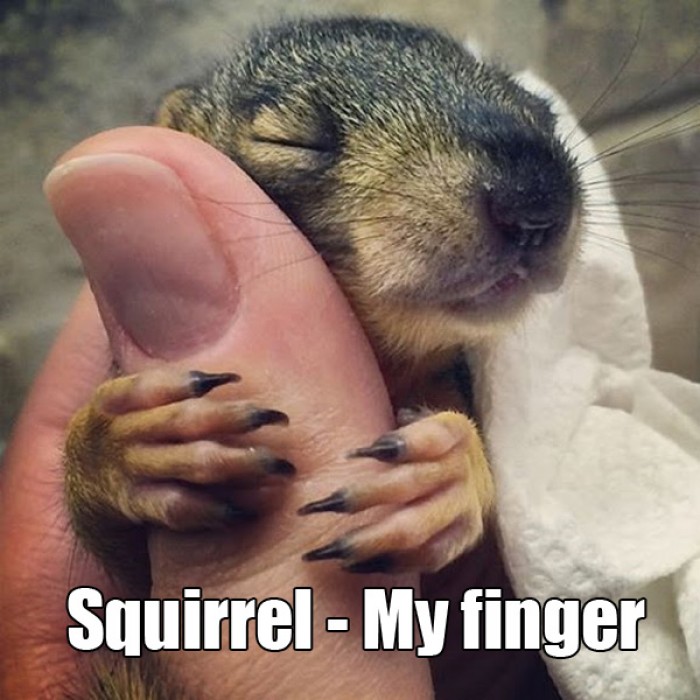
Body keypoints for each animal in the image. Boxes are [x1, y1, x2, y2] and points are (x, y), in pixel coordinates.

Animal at [63, 17, 580, 700]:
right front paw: (125, 442)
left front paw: (446, 471)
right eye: (290, 140)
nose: (536, 196)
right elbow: (119, 579)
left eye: (539, 111)